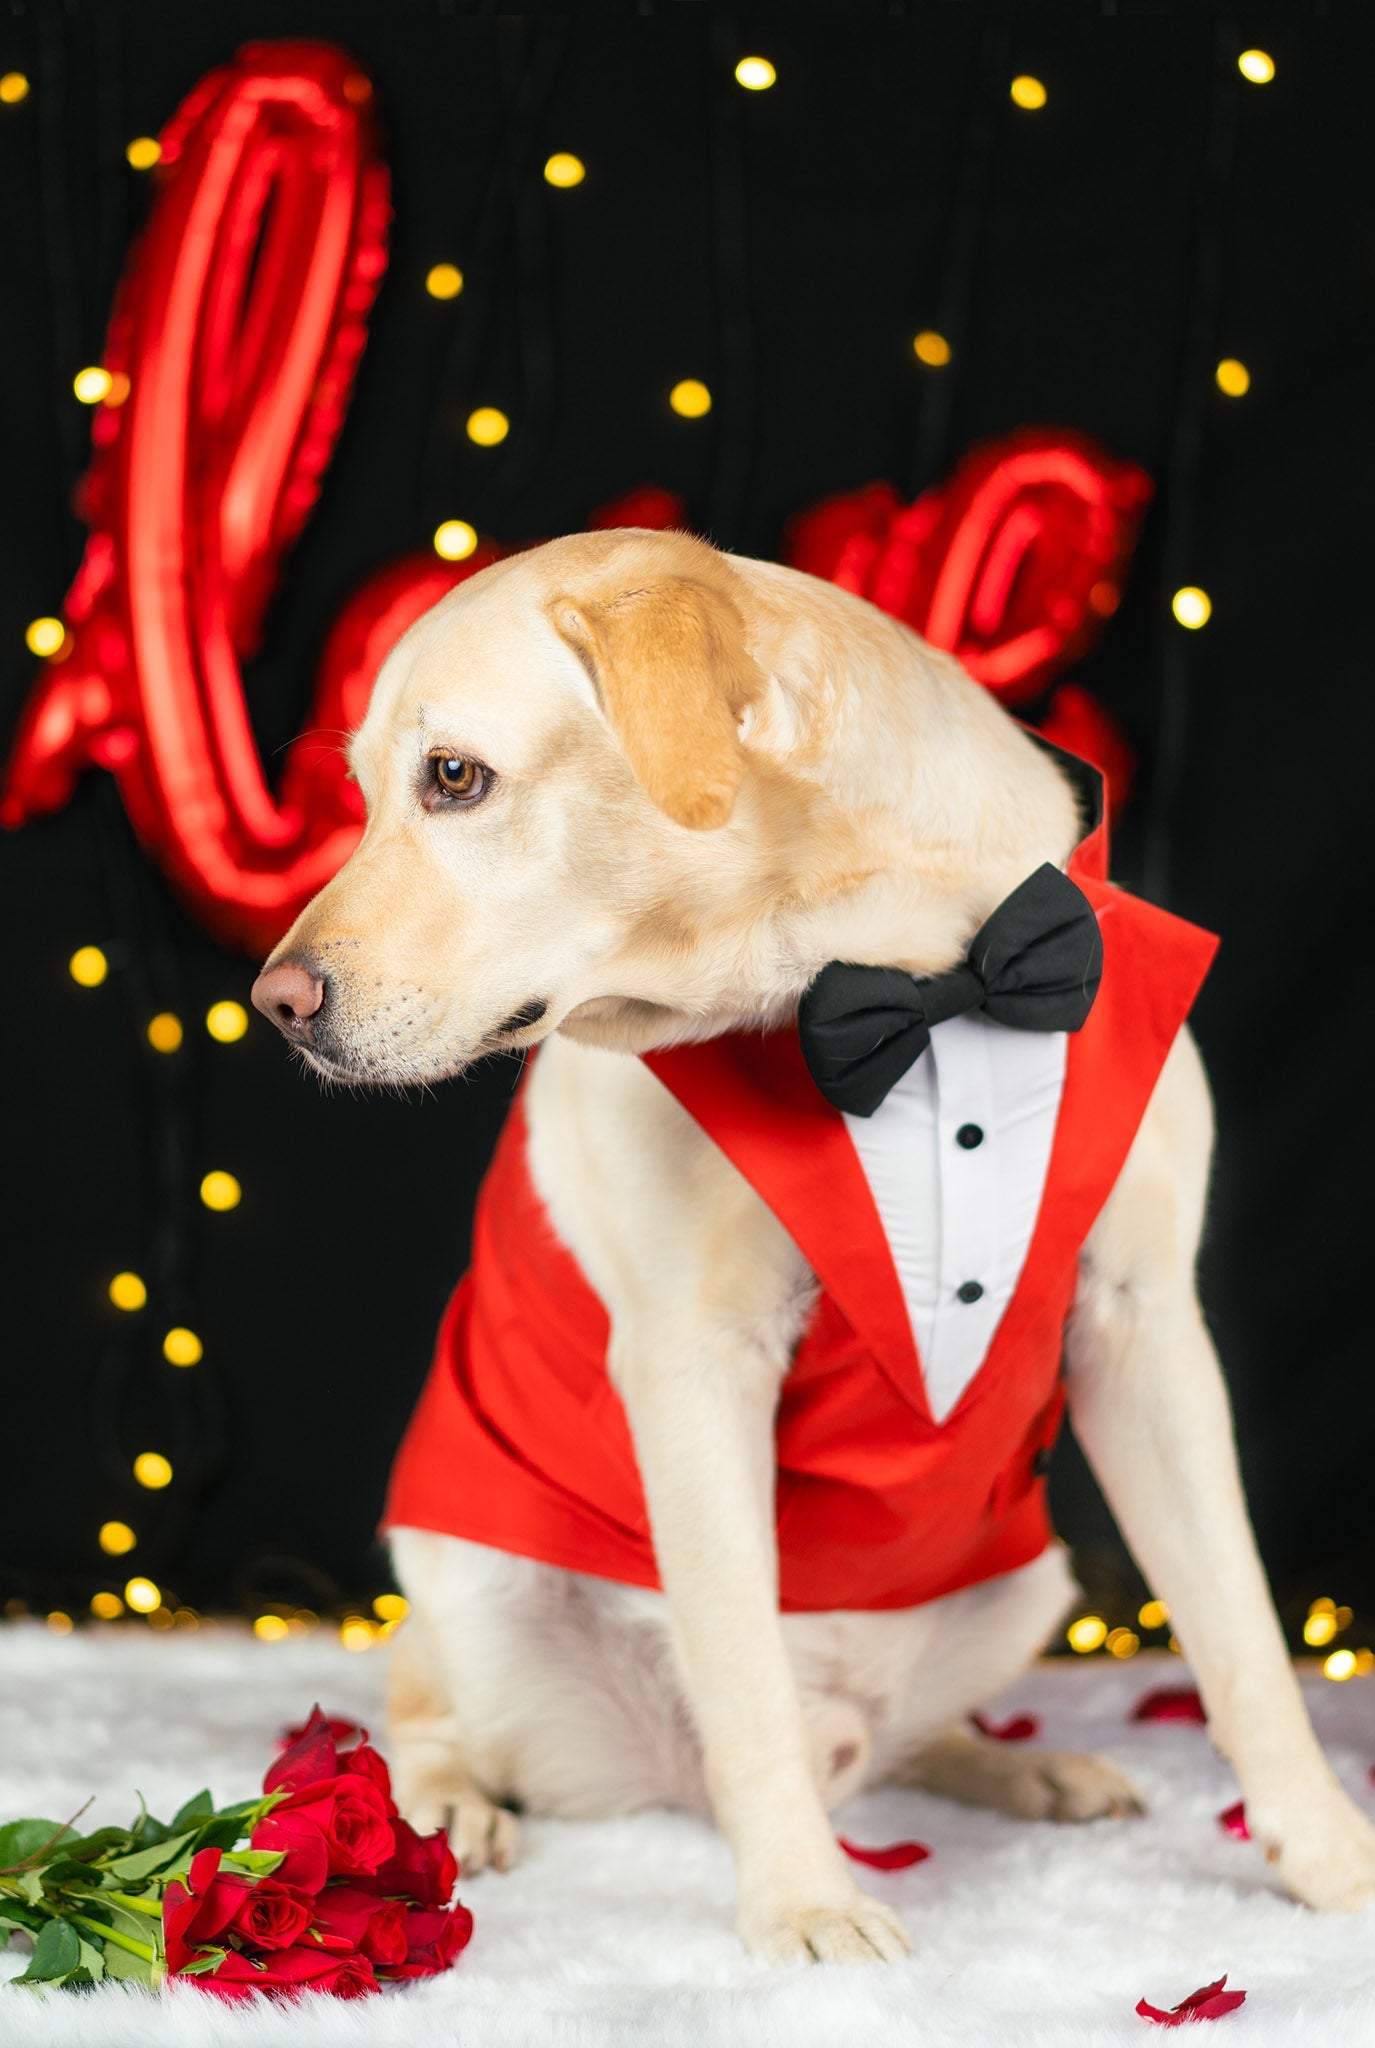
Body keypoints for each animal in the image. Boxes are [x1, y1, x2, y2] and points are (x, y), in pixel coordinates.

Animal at [250, 532, 1375, 1966]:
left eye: (453, 777)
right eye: (365, 791)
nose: (274, 1004)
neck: (903, 978)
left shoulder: (1145, 1328)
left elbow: (1238, 1628)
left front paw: (1326, 1853)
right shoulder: (693, 1368)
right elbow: (740, 1671)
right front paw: (801, 1900)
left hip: (1027, 1576)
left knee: (904, 1744)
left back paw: (1017, 1765)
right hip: (468, 1583)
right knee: (426, 1706)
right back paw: (441, 1808)